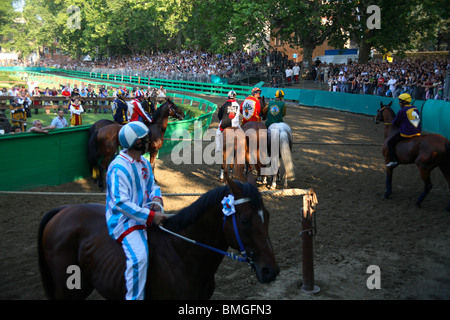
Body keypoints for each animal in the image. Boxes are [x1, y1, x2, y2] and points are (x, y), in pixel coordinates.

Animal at [38, 176, 280, 298]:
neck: (183, 256)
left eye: (267, 216)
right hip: (68, 289)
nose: (271, 270)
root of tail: (63, 210)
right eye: (245, 220)